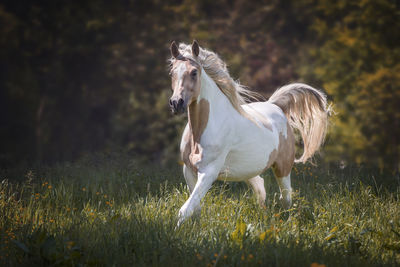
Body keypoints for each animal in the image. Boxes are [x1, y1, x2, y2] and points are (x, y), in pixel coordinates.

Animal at [168, 40, 328, 227]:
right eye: (172, 72)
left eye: (194, 72)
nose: (176, 103)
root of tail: (276, 106)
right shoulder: (189, 171)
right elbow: (195, 208)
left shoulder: (209, 172)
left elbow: (184, 210)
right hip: (248, 170)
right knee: (261, 187)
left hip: (283, 168)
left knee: (286, 197)